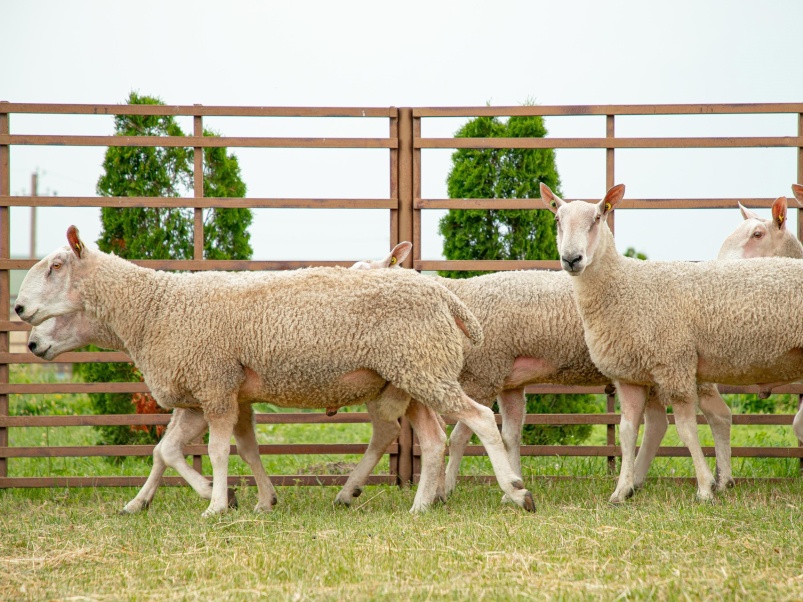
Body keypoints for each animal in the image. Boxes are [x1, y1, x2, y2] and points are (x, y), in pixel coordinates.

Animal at [15, 227, 532, 512]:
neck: (153, 310)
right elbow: (177, 451)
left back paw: (515, 491)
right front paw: (145, 502)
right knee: (434, 438)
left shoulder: (213, 383)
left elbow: (217, 451)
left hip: (422, 370)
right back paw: (420, 506)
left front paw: (216, 503)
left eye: (57, 265)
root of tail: (443, 294)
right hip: (414, 375)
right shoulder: (211, 391)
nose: (21, 313)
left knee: (480, 419)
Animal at [540, 183, 803, 502]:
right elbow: (627, 432)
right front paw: (621, 490)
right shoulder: (629, 375)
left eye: (598, 218)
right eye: (557, 220)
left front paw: (704, 487)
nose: (571, 259)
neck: (623, 287)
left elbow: (687, 430)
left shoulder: (674, 364)